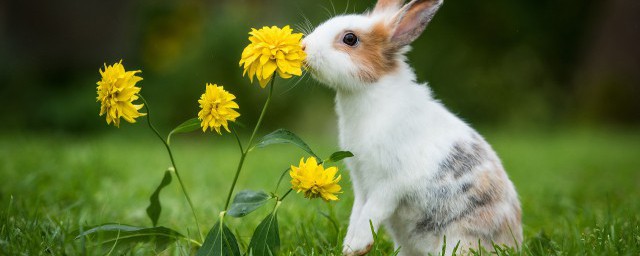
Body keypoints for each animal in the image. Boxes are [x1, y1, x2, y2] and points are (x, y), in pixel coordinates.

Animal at [302, 0, 524, 255]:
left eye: (350, 39)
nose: (304, 46)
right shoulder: (361, 182)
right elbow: (358, 212)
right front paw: (348, 246)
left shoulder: (389, 183)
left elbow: (371, 212)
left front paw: (357, 246)